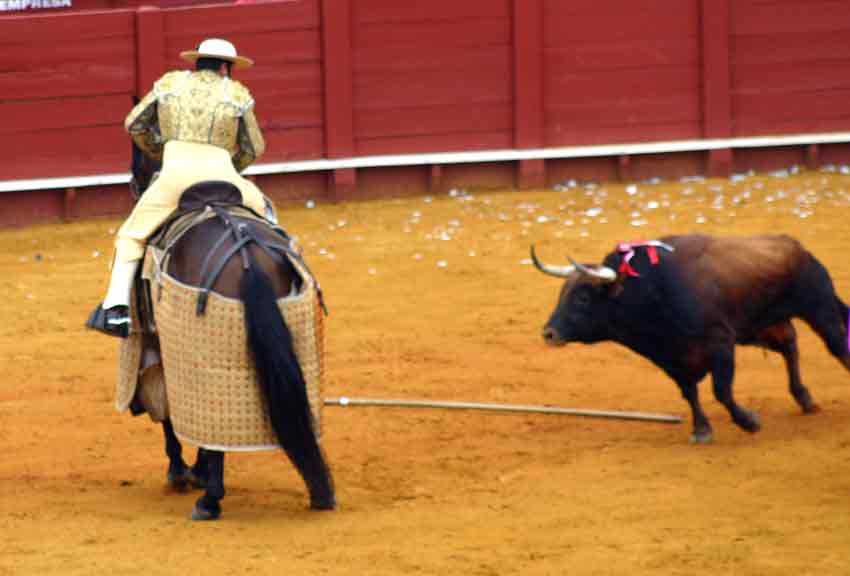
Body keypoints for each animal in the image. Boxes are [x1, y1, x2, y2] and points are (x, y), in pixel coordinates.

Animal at [127, 142, 332, 520]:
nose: (135, 182)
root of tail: (247, 256)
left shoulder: (160, 340)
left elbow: (169, 410)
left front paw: (182, 472)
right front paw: (196, 471)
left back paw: (209, 500)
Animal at [528, 232, 848, 444]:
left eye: (582, 298)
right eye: (563, 294)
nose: (548, 333)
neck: (651, 293)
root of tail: (796, 247)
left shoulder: (721, 344)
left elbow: (721, 391)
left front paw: (749, 422)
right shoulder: (671, 359)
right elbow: (689, 392)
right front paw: (701, 429)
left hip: (819, 306)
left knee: (836, 344)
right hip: (764, 325)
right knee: (789, 345)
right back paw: (805, 399)